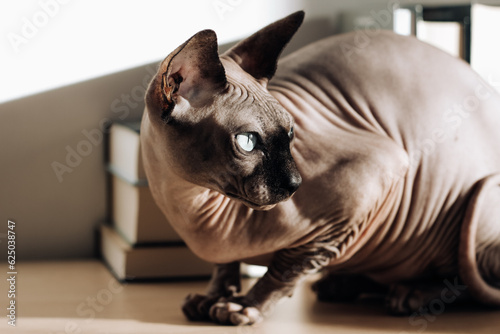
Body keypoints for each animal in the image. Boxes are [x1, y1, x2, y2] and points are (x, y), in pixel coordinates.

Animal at [140, 11, 500, 326]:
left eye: (290, 135)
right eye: (247, 142)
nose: (295, 184)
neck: (189, 204)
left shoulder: (368, 185)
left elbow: (289, 266)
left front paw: (245, 306)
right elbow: (224, 264)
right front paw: (213, 296)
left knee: (470, 281)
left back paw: (411, 295)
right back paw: (343, 285)